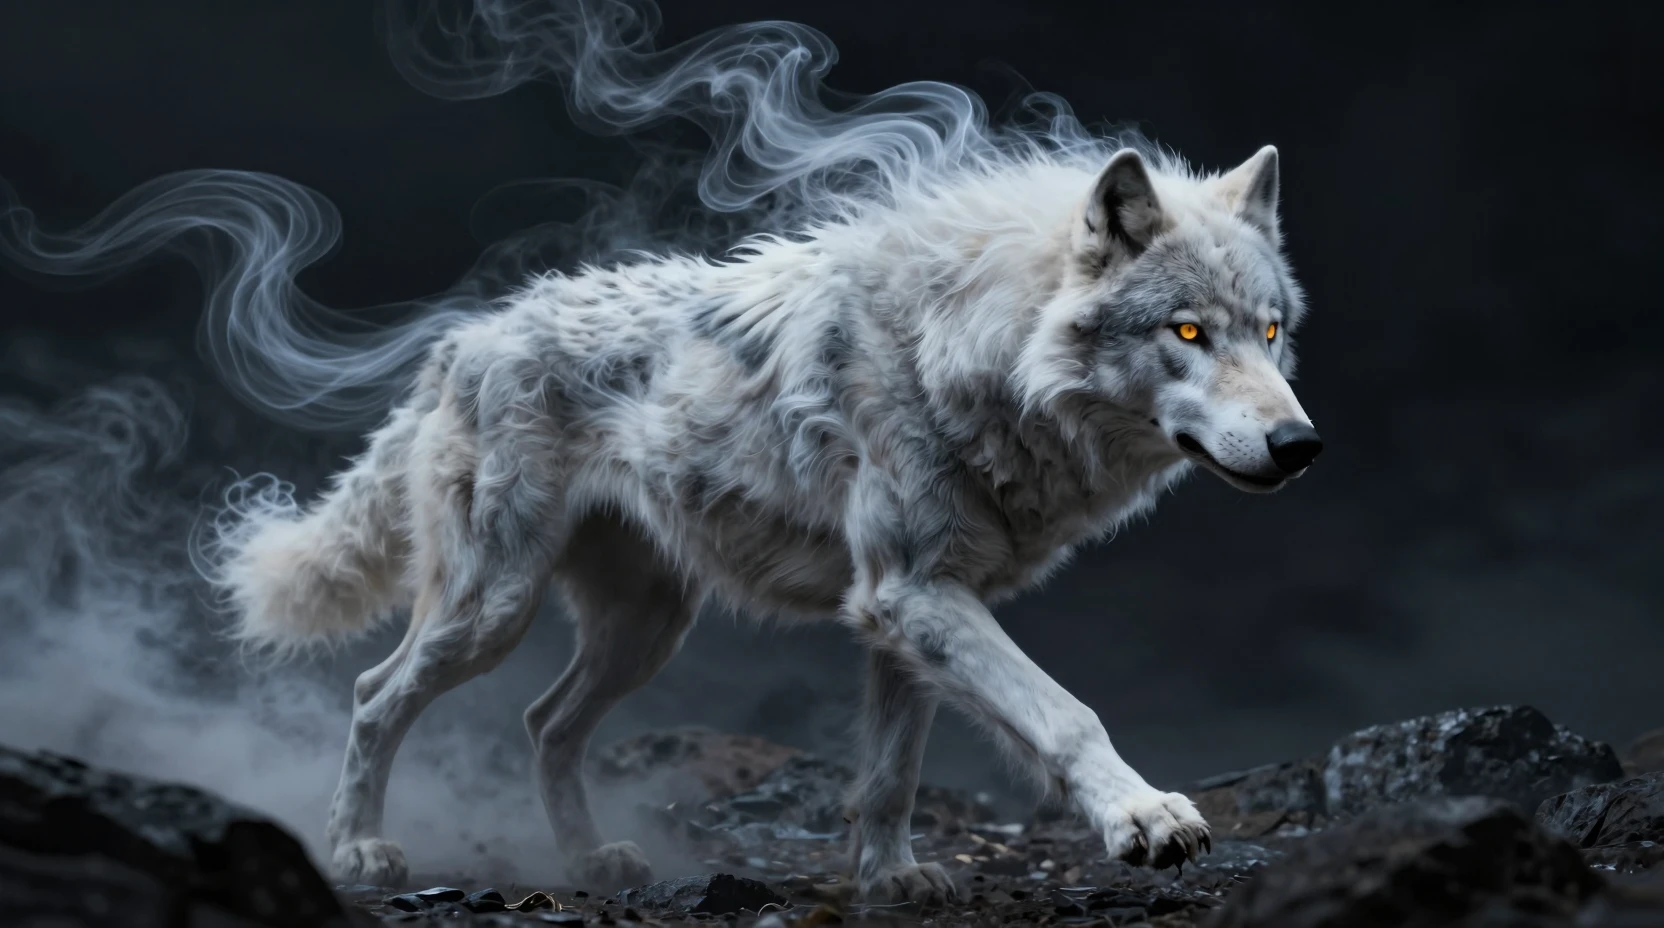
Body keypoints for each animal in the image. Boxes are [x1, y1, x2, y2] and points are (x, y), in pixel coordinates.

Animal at [209, 140, 1321, 903]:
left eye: (1269, 332)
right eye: (1188, 331)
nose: (1299, 444)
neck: (975, 349)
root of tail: (464, 339)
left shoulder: (905, 607)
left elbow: (891, 770)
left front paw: (889, 876)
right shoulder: (914, 594)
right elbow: (1064, 713)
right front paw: (1145, 816)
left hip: (645, 630)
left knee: (544, 722)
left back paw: (591, 857)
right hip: (493, 609)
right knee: (373, 693)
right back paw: (359, 848)